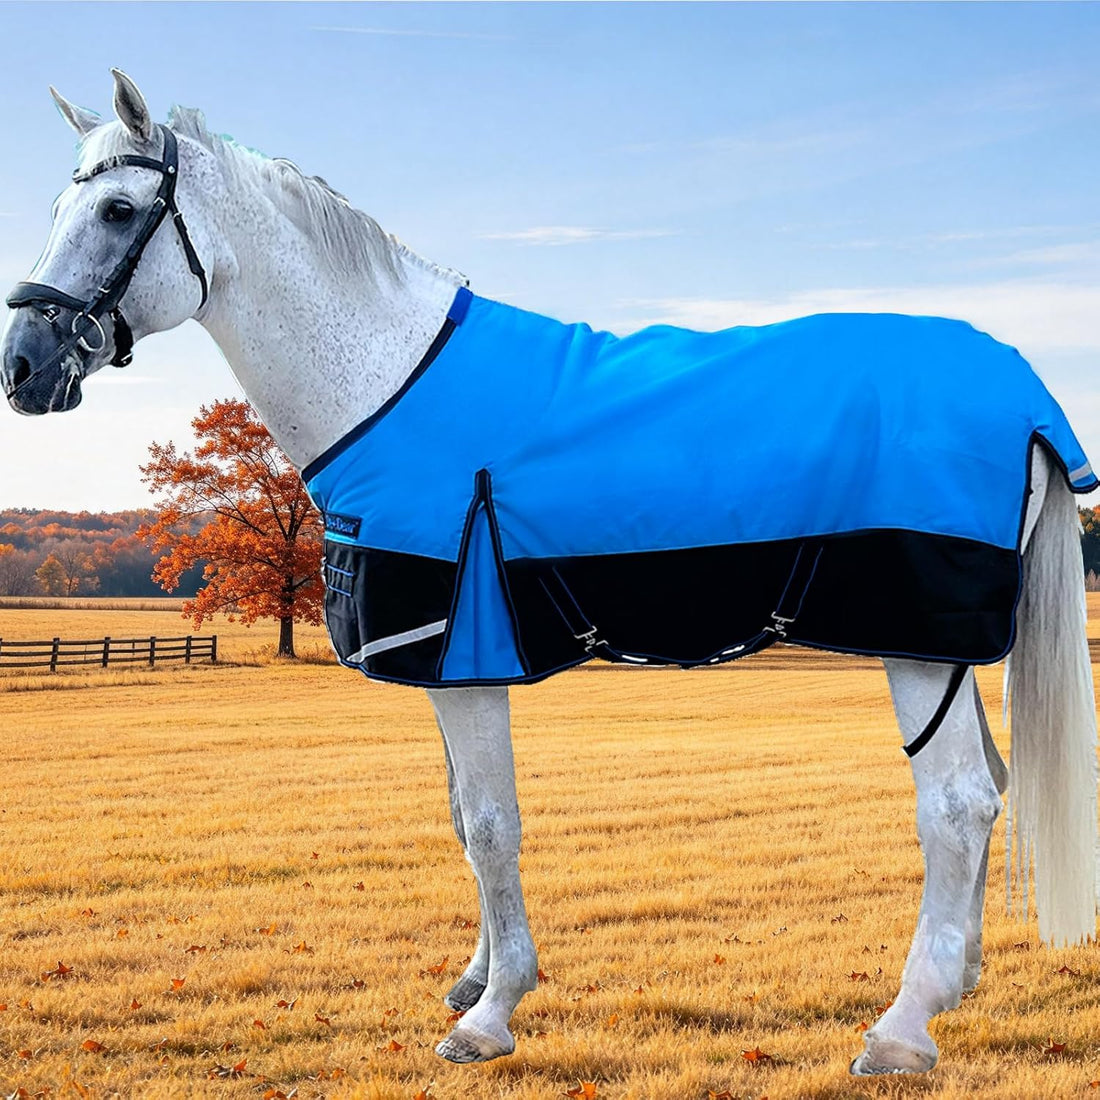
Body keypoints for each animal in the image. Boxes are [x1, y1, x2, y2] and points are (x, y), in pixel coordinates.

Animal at [2, 71, 1097, 1076]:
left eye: (116, 209)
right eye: (59, 205)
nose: (22, 365)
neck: (388, 379)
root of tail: (1023, 390)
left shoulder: (464, 660)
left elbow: (490, 824)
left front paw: (490, 1015)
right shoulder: (443, 666)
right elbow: (460, 816)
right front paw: (474, 977)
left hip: (917, 645)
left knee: (956, 803)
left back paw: (902, 1025)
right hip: (939, 648)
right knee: (988, 788)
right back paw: (956, 983)